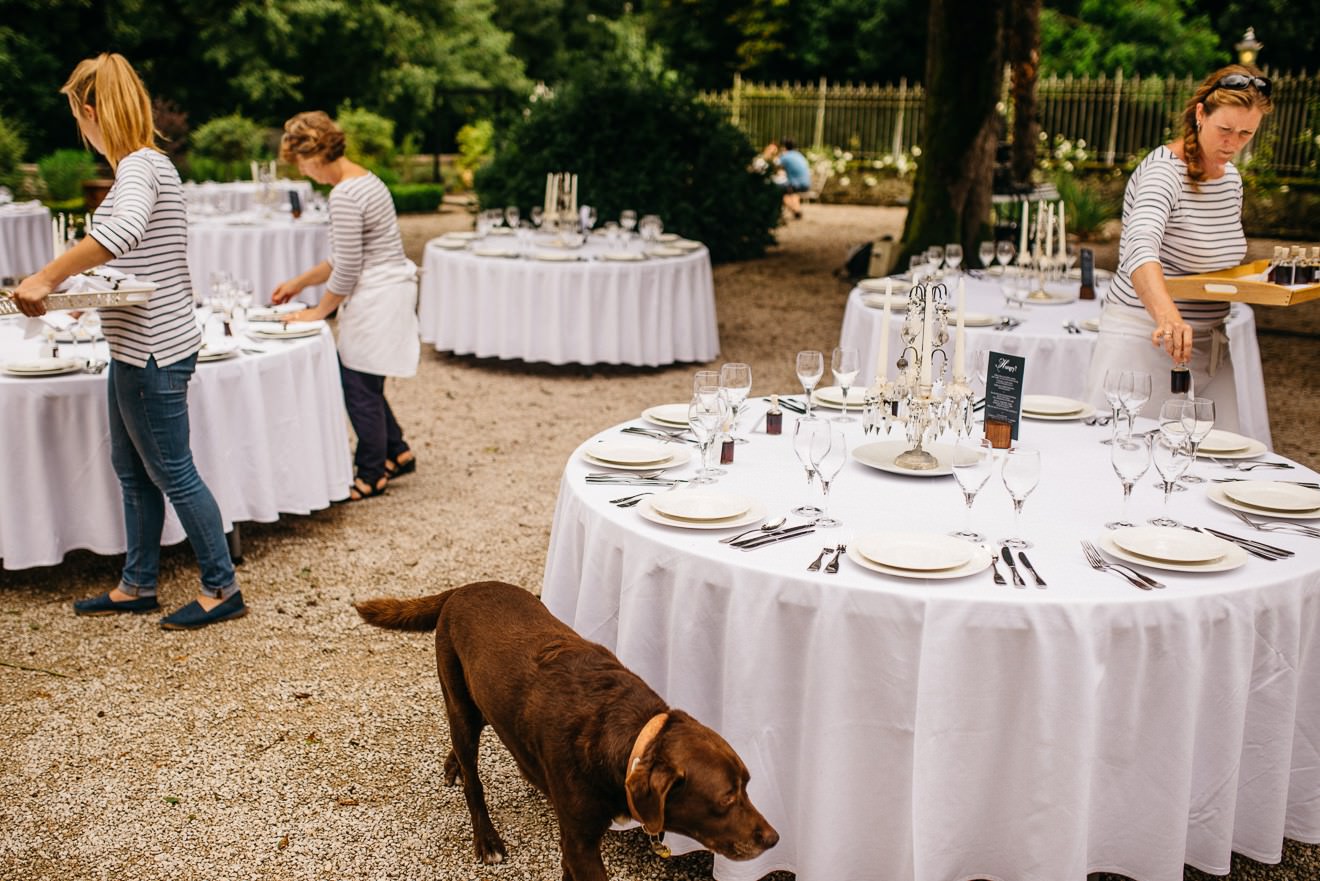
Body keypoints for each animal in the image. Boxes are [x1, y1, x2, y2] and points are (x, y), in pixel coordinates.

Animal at [356, 581, 776, 877]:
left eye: (748, 786)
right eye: (726, 799)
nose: (773, 839)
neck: (630, 737)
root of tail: (463, 588)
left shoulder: (574, 847)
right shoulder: (579, 842)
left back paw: (452, 763)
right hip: (460, 704)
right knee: (473, 782)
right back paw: (486, 837)